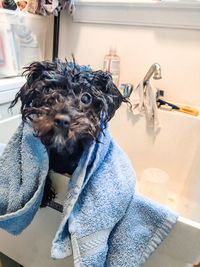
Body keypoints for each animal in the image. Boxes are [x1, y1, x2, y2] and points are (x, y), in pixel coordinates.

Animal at [10, 60, 127, 207]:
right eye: (47, 90)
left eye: (86, 98)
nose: (61, 121)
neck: (64, 150)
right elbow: (45, 171)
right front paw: (44, 194)